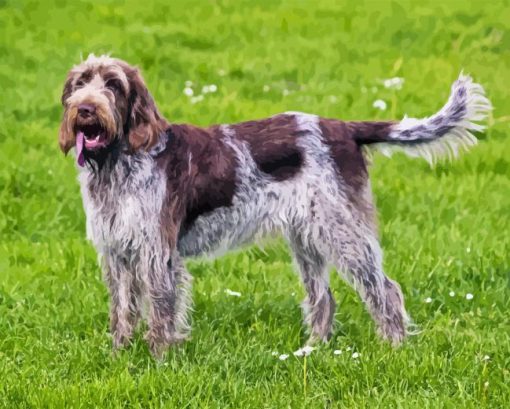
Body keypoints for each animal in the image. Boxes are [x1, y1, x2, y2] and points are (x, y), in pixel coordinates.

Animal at [57, 55, 492, 356]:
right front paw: (119, 353)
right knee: (323, 298)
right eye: (79, 84)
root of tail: (344, 128)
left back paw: (394, 346)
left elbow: (162, 311)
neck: (119, 161)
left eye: (113, 85)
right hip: (308, 239)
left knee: (385, 290)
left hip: (344, 233)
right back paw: (313, 349)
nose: (85, 109)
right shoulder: (116, 251)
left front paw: (160, 358)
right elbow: (122, 309)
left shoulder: (156, 254)